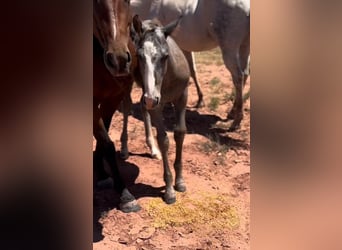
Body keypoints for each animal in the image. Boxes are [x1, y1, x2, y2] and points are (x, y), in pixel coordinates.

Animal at [130, 0, 250, 130]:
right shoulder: (184, 48)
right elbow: (192, 71)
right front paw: (200, 100)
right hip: (244, 47)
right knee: (245, 74)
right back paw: (233, 112)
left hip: (230, 49)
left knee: (238, 77)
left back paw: (236, 120)